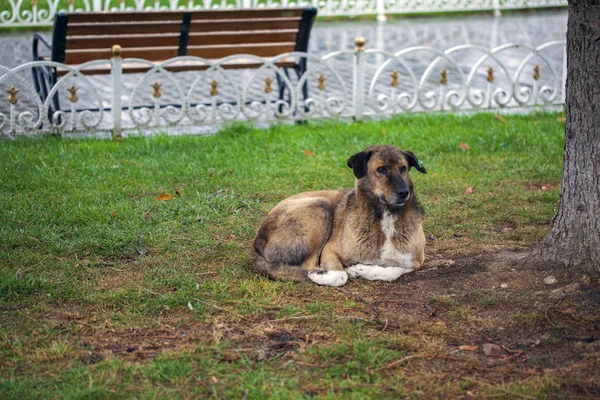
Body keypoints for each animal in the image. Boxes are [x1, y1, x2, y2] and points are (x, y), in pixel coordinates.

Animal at [248, 145, 426, 286]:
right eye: (381, 169)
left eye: (403, 168)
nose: (404, 193)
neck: (386, 217)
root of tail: (257, 241)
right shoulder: (330, 250)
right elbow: (340, 276)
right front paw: (322, 275)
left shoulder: (417, 260)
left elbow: (394, 270)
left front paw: (363, 269)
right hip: (320, 205)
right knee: (307, 265)